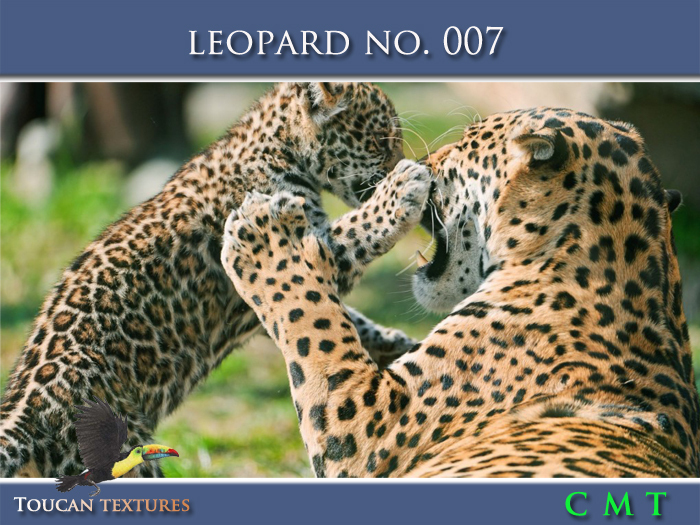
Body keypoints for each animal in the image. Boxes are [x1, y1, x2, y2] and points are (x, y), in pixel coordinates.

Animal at [0, 82, 433, 478]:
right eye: (381, 140)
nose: (410, 162)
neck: (275, 147)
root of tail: (24, 418)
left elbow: (325, 311)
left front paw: (393, 342)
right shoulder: (302, 246)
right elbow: (354, 233)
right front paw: (402, 190)